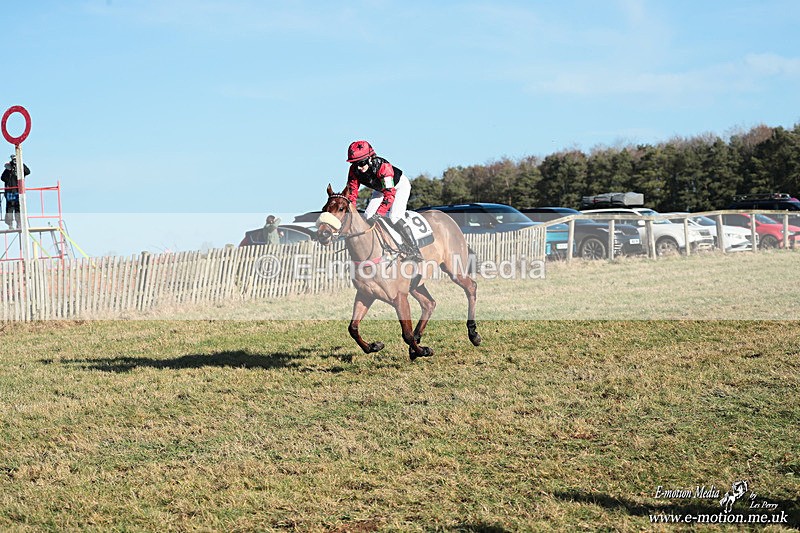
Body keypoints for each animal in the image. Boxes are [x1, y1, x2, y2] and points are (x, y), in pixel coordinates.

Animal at [316, 185, 481, 360]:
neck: (371, 252)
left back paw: (473, 334)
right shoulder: (365, 295)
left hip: (454, 269)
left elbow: (406, 334)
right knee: (429, 304)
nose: (323, 234)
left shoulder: (399, 298)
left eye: (341, 208)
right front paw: (374, 346)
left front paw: (424, 350)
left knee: (471, 287)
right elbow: (352, 328)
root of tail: (447, 218)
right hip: (416, 283)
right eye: (324, 209)